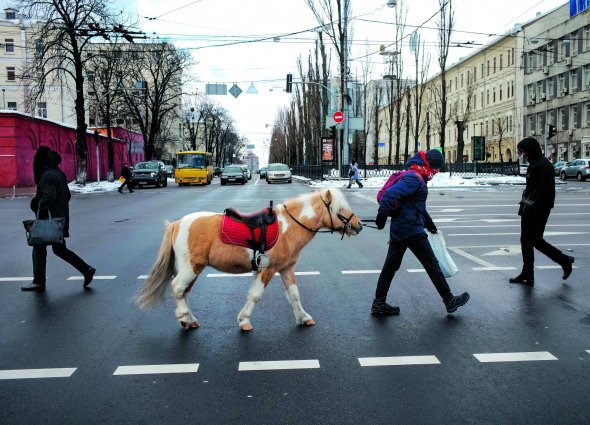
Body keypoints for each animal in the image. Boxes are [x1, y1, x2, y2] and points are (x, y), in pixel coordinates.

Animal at [136, 187, 364, 330]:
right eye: (339, 209)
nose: (359, 225)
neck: (287, 227)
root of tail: (176, 223)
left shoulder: (286, 269)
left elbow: (294, 295)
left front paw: (303, 317)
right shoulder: (267, 270)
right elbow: (255, 295)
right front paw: (244, 320)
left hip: (192, 269)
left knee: (184, 291)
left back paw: (189, 320)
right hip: (191, 267)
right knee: (177, 287)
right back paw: (184, 317)